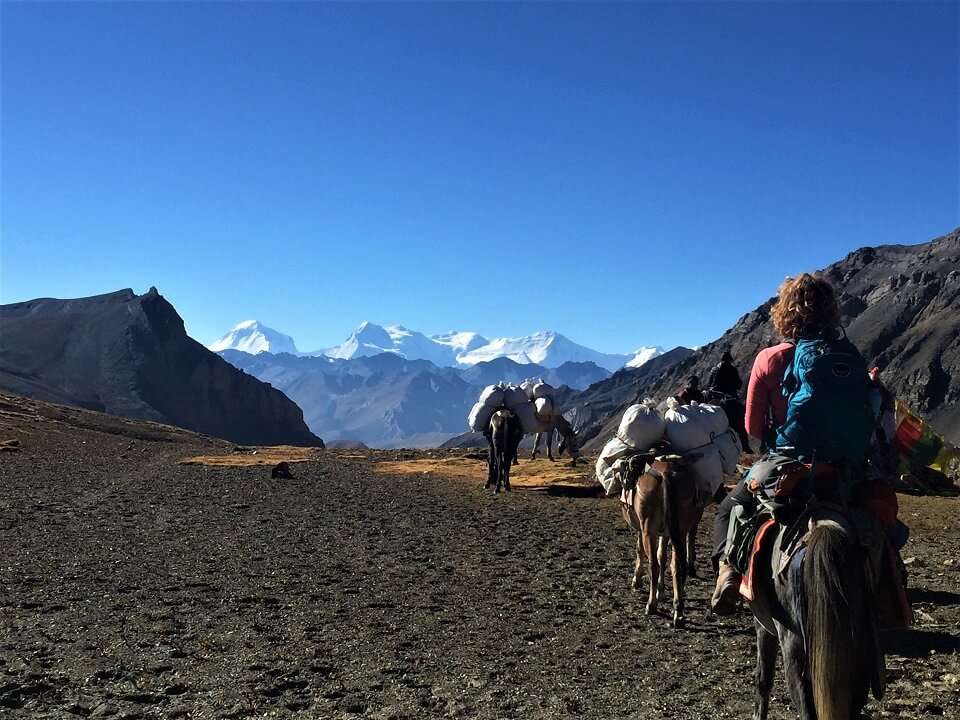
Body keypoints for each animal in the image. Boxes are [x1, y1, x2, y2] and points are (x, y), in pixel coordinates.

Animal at [616, 452, 704, 628]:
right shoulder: (666, 533)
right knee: (677, 566)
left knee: (653, 565)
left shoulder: (642, 529)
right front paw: (661, 592)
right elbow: (662, 556)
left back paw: (651, 605)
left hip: (649, 529)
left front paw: (637, 579)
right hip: (680, 530)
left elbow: (641, 551)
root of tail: (666, 474)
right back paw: (678, 611)